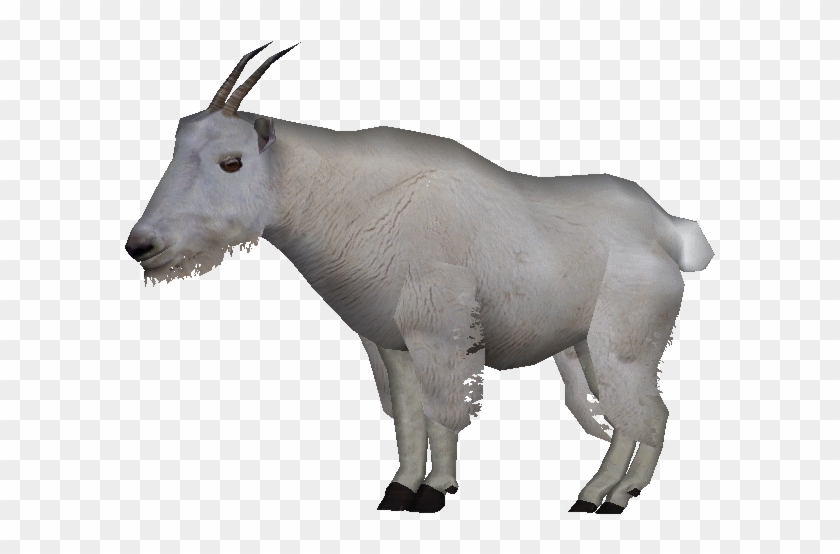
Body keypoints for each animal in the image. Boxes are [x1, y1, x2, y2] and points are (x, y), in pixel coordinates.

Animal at [126, 42, 715, 514]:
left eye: (232, 161)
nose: (142, 246)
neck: (345, 198)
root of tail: (668, 229)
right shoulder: (393, 342)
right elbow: (409, 417)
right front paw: (400, 490)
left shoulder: (441, 332)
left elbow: (444, 411)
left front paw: (435, 491)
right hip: (590, 346)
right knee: (630, 417)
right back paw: (595, 494)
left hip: (624, 344)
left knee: (649, 414)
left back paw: (615, 497)